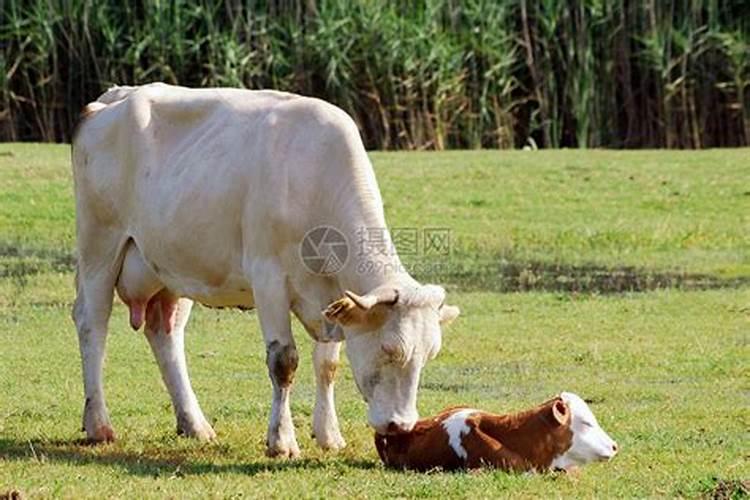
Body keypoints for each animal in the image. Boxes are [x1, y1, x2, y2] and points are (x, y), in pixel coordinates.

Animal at [72, 83, 458, 458]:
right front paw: (282, 441)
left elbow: (328, 364)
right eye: (391, 350)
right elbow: (284, 361)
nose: (401, 425)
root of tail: (114, 96)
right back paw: (99, 424)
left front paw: (329, 435)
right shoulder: (268, 277)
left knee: (165, 332)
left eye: (429, 355)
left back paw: (194, 424)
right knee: (93, 323)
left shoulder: (334, 297)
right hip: (99, 245)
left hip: (172, 264)